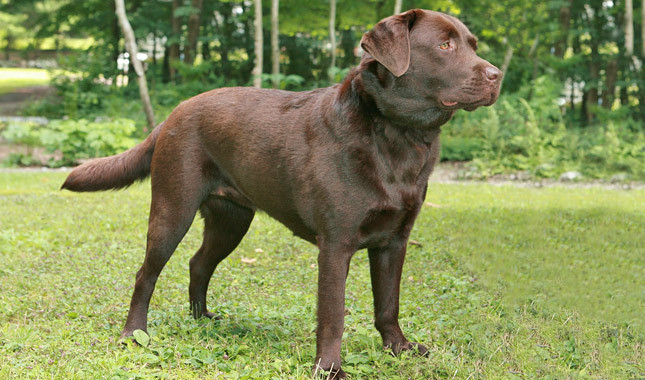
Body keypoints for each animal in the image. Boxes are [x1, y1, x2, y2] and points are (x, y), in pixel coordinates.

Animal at [61, 10, 498, 378]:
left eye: (473, 44)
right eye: (445, 46)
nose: (496, 74)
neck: (399, 135)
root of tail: (173, 114)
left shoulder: (395, 240)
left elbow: (388, 304)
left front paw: (399, 349)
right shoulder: (335, 245)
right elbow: (333, 315)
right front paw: (330, 369)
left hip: (232, 219)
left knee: (198, 263)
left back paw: (202, 320)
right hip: (173, 208)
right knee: (146, 274)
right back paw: (133, 334)